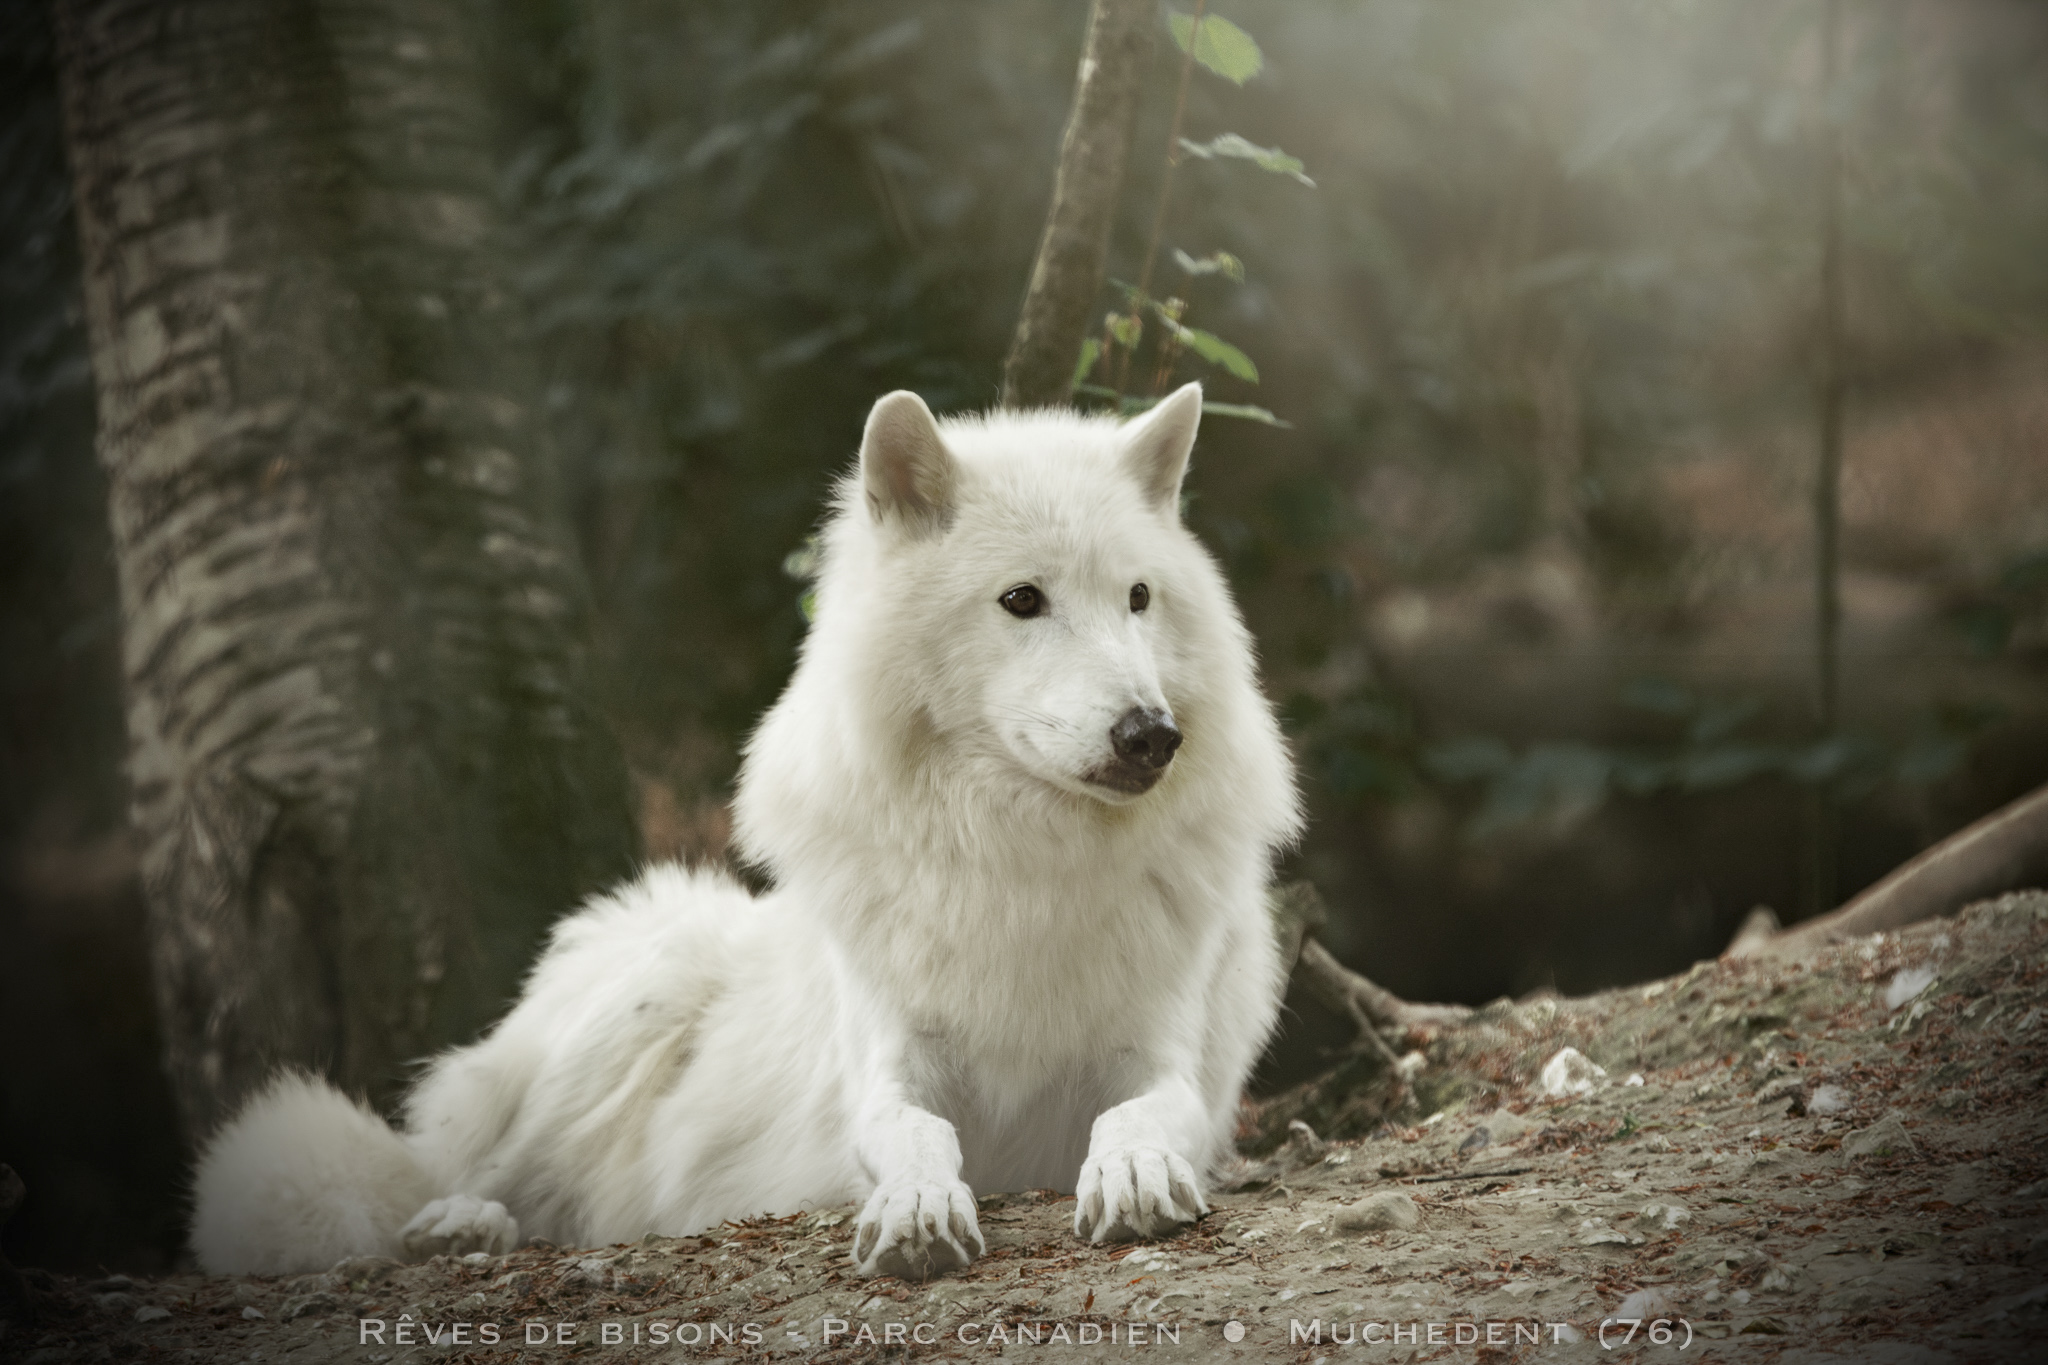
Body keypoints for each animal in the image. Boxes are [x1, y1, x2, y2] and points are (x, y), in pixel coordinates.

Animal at [191, 381, 1301, 1279]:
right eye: (1021, 600)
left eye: (1138, 598)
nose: (1152, 735)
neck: (1025, 861)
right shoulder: (886, 1067)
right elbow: (913, 1134)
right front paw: (914, 1211)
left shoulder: (1169, 1064)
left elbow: (1136, 1112)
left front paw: (1134, 1174)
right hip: (647, 978)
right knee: (467, 1172)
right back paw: (458, 1223)